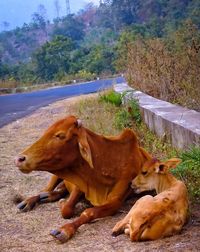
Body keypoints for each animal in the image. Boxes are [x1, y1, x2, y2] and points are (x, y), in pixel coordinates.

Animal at [14, 115, 152, 243]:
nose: (19, 159)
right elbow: (67, 209)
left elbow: (88, 212)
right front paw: (64, 206)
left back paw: (48, 197)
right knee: (45, 189)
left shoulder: (116, 202)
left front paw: (65, 229)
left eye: (60, 135)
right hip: (56, 175)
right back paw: (28, 201)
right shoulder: (80, 186)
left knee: (55, 192)